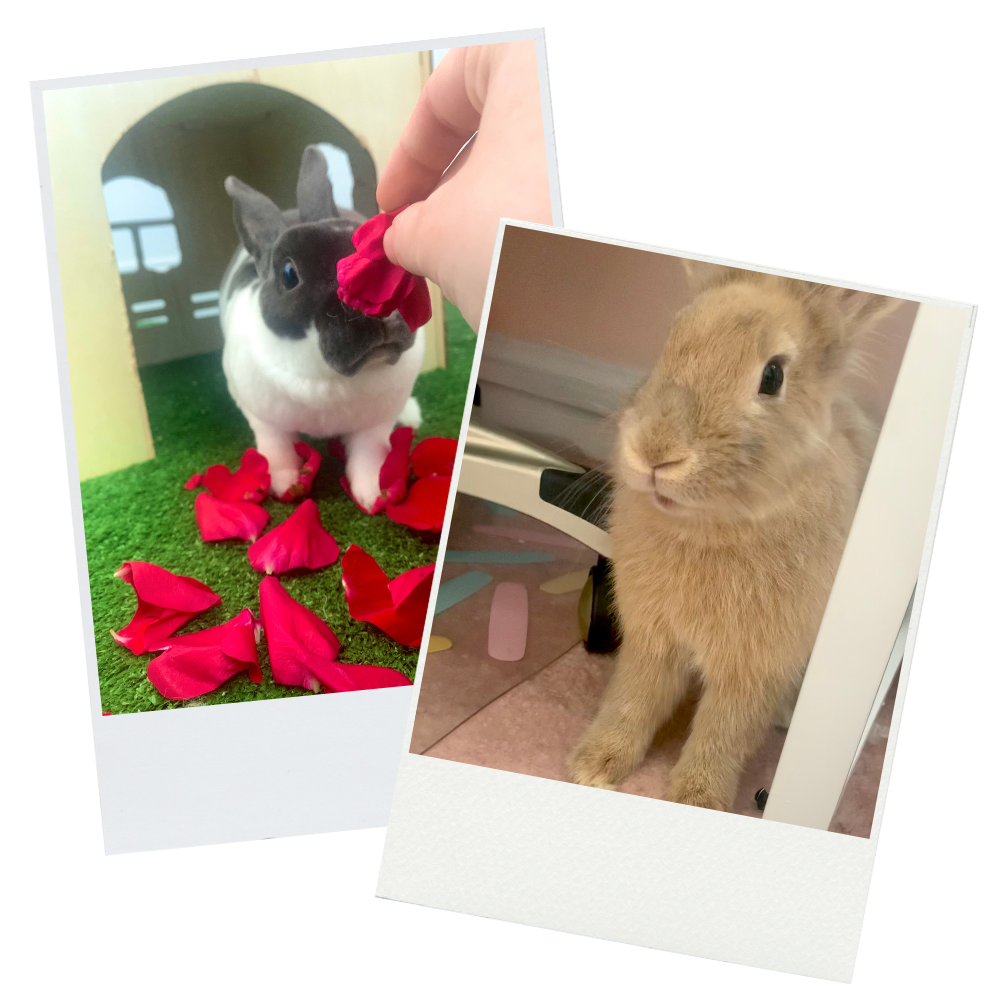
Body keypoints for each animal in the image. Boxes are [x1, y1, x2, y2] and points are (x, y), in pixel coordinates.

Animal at [218, 145, 424, 508]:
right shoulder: (265, 421)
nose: (378, 305)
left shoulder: (374, 425)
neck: (327, 379)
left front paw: (375, 495)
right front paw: (286, 485)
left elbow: (369, 456)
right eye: (289, 274)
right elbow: (277, 452)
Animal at [568, 261, 900, 812]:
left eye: (773, 375)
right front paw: (592, 766)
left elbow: (724, 733)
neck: (709, 528)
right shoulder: (652, 640)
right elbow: (632, 699)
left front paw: (697, 801)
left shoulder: (754, 667)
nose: (655, 452)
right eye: (671, 339)